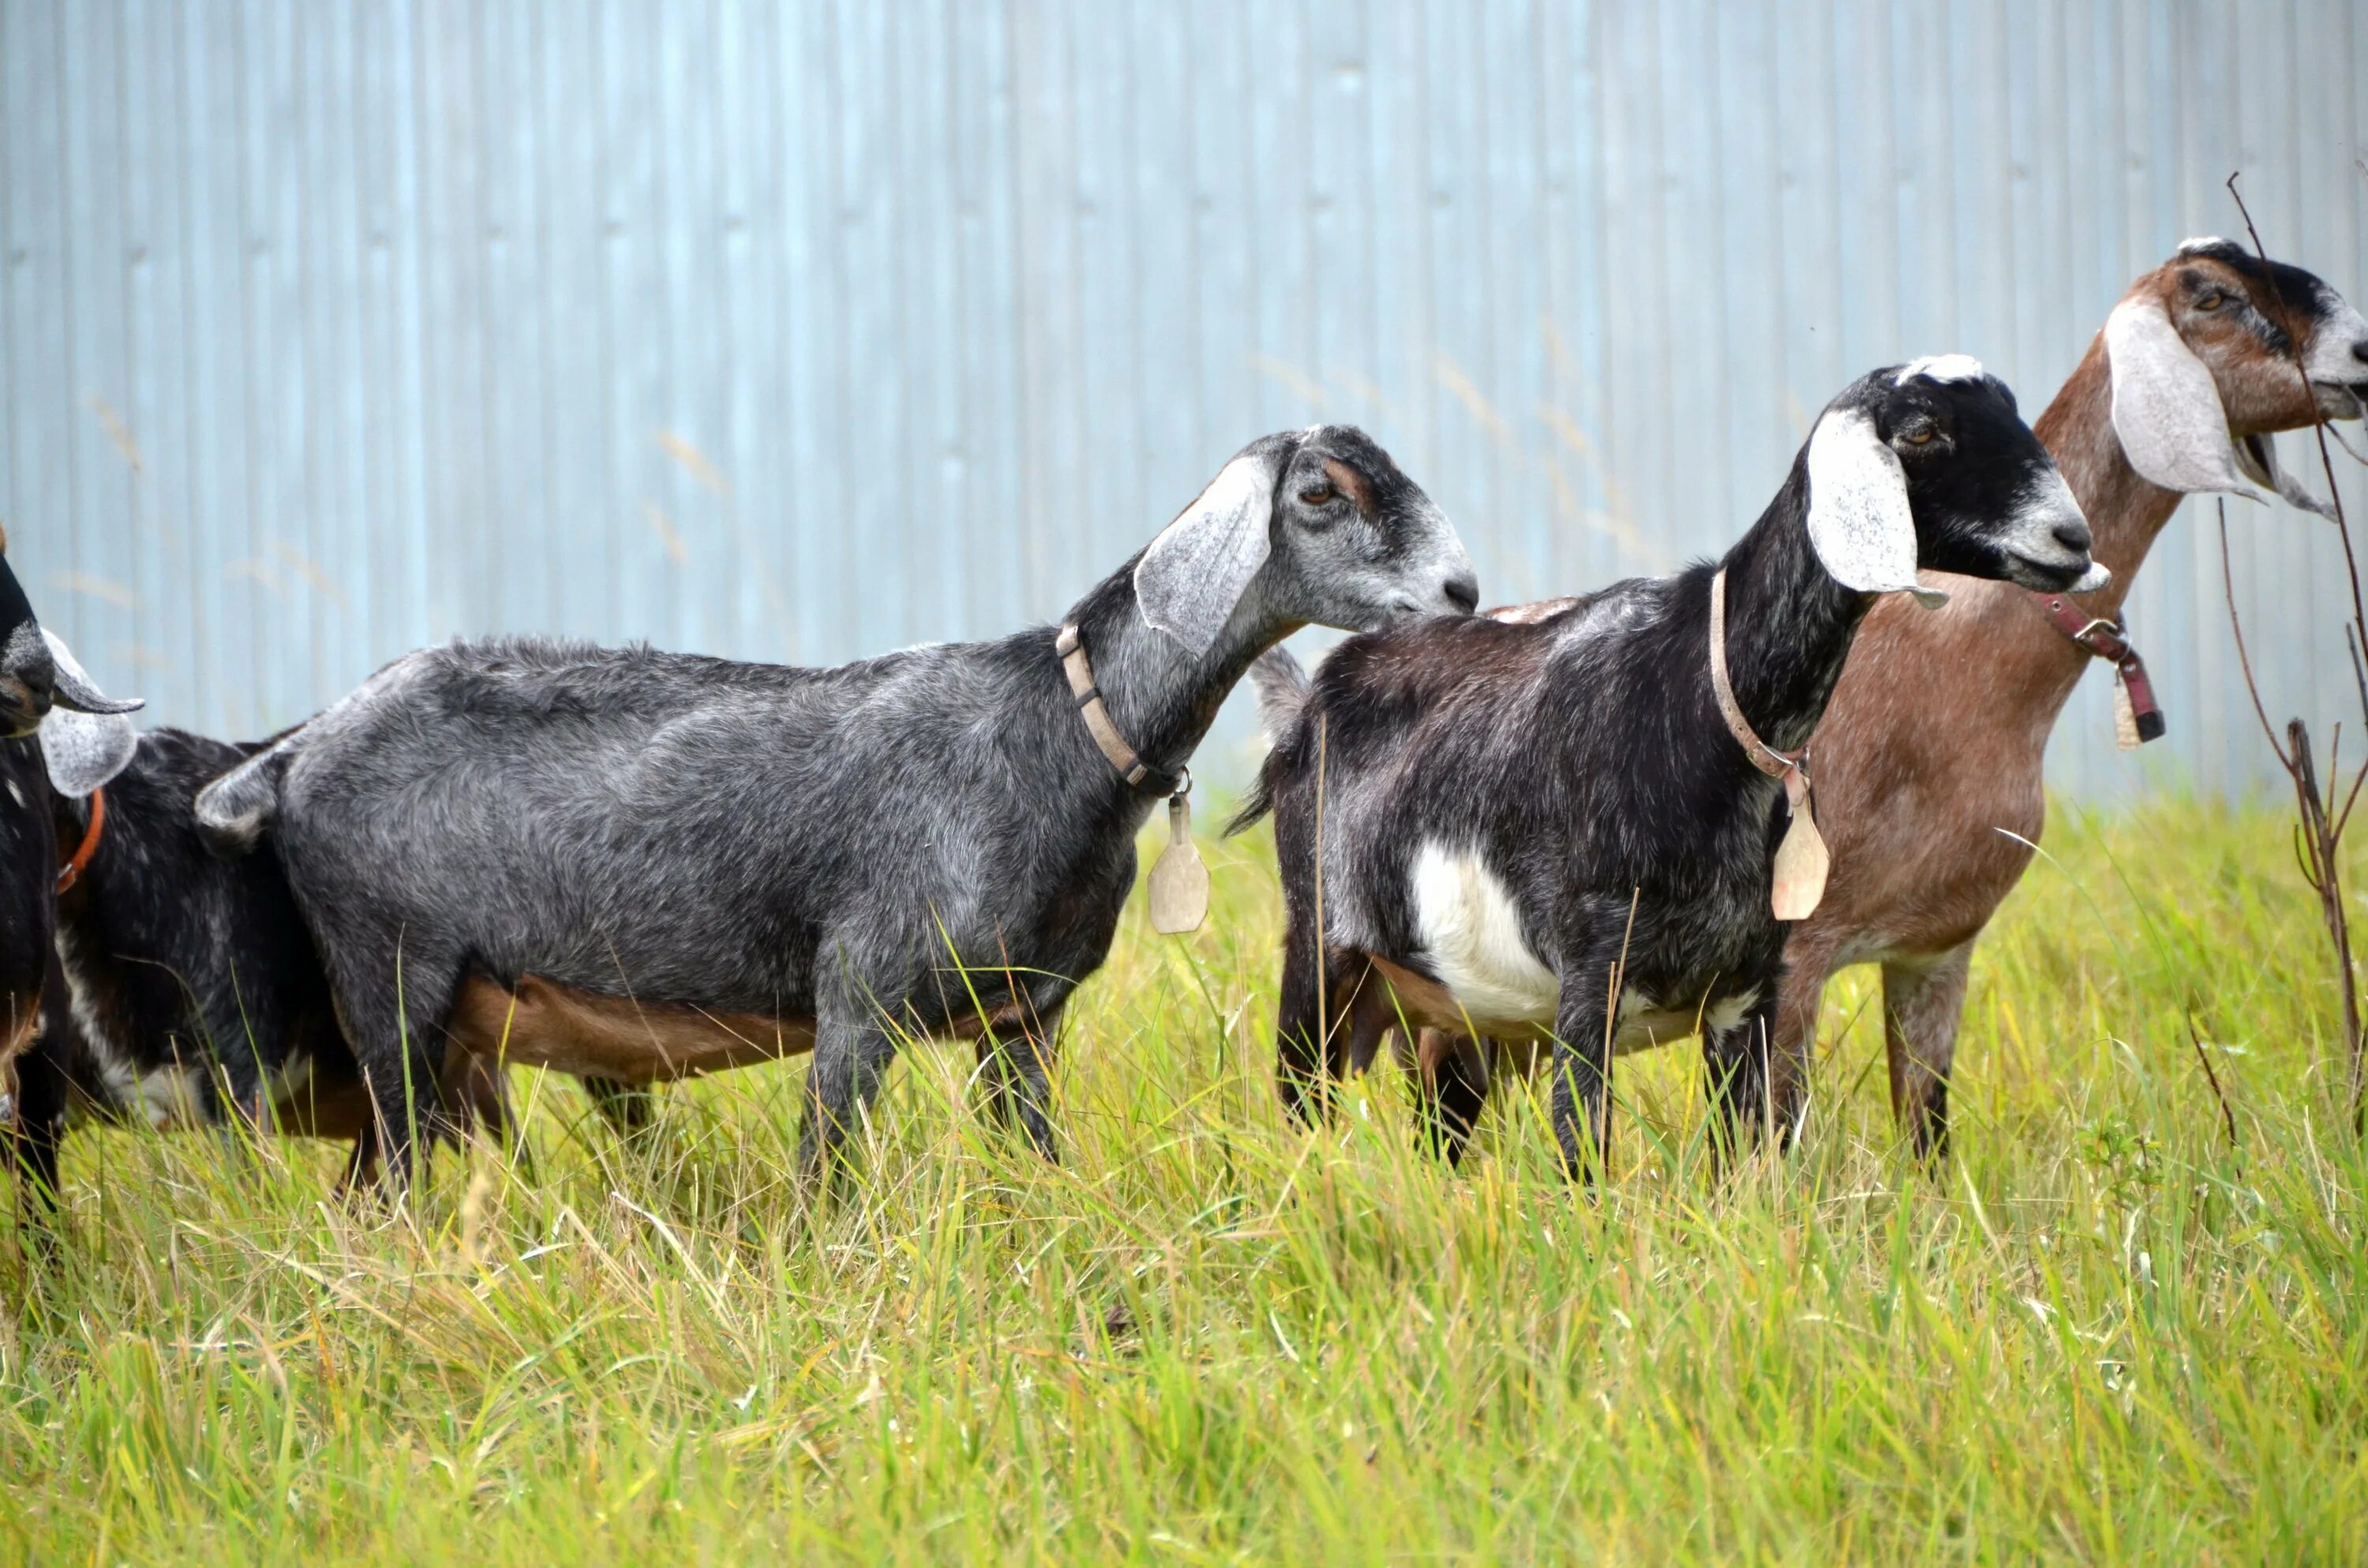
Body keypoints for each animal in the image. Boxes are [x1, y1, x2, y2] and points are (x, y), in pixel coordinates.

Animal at [194, 424, 1468, 1184]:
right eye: (1321, 491)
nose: (1461, 590)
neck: (1053, 729)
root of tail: (291, 754)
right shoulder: (860, 989)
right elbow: (827, 1182)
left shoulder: (1024, 1019)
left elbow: (1037, 1169)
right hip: (390, 980)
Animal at [1231, 362, 2103, 1174]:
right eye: (1922, 430)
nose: (2073, 538)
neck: (1704, 696)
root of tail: (1309, 701)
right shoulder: (1591, 978)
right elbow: (1582, 1161)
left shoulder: (1748, 987)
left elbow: (1745, 1163)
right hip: (1320, 957)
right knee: (1302, 1106)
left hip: (1459, 1016)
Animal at [1383, 246, 2368, 1160]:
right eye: (2213, 294)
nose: (2360, 355)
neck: (1960, 670)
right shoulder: (1795, 958)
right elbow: (1770, 1152)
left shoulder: (1937, 951)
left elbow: (1925, 1139)